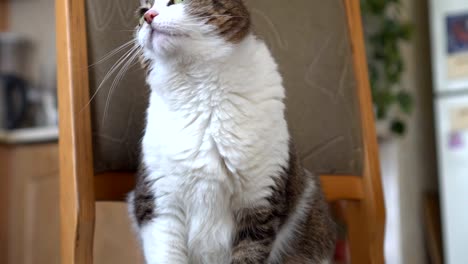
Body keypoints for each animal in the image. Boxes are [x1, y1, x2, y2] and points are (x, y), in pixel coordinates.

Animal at [128, 0, 336, 262]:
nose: (149, 17)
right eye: (142, 11)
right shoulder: (160, 204)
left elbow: (249, 251)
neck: (199, 89)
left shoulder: (259, 201)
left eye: (175, 2)